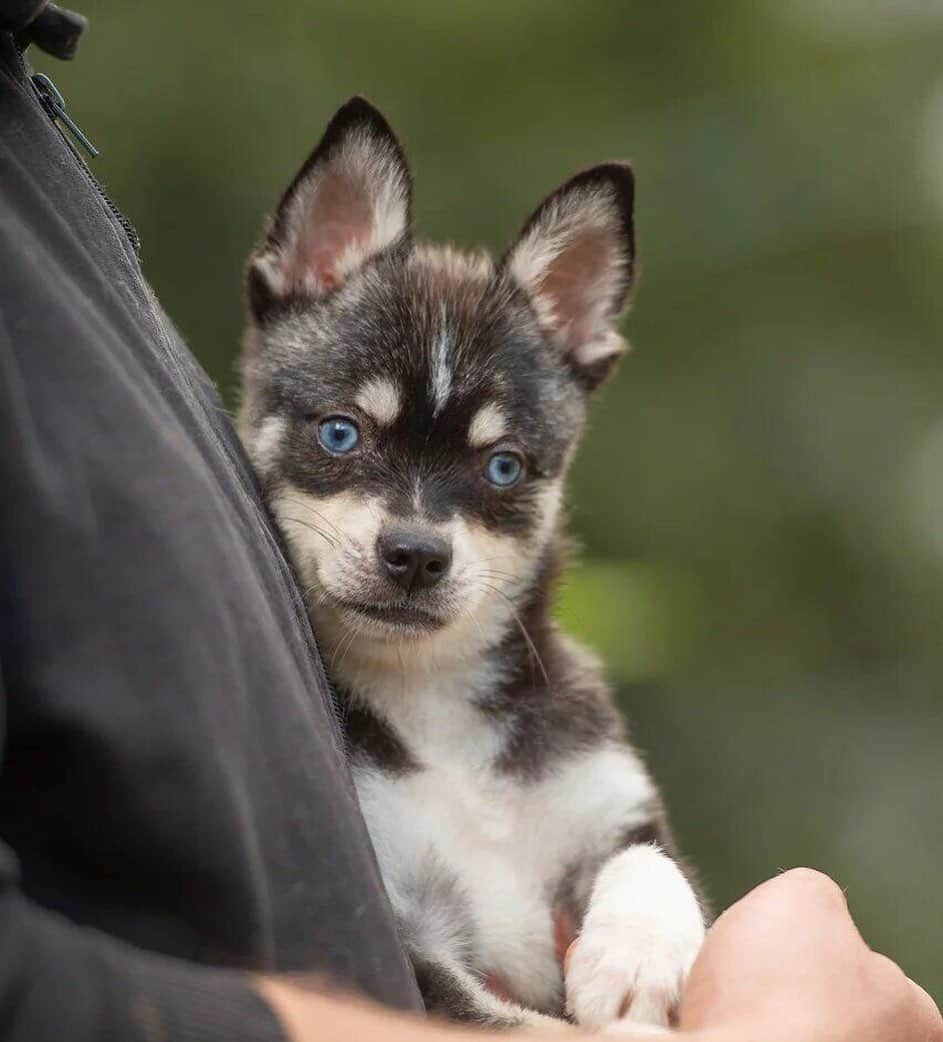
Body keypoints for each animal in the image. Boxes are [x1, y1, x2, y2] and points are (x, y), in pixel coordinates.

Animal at [239, 99, 704, 1033]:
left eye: (504, 468)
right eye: (339, 432)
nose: (415, 555)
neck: (434, 698)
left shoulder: (611, 808)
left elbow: (654, 868)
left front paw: (632, 957)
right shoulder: (409, 936)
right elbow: (511, 1020)